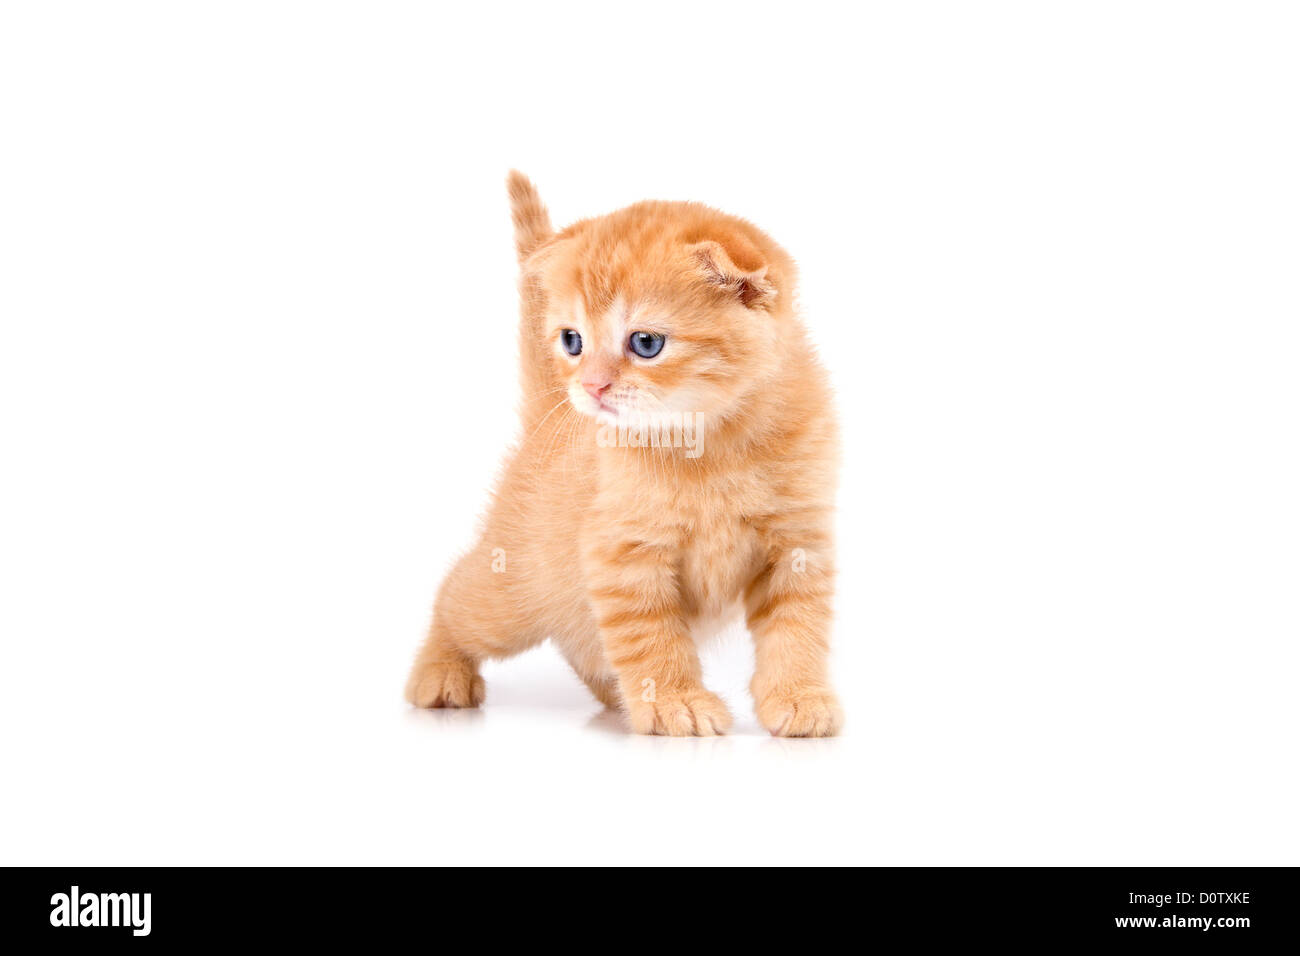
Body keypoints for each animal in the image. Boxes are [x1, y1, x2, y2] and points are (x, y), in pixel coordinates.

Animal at [405, 174, 842, 738]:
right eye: (572, 340)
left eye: (646, 343)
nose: (590, 387)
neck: (712, 443)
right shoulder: (622, 553)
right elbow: (651, 637)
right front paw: (676, 701)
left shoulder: (799, 542)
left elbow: (798, 630)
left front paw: (798, 696)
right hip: (509, 594)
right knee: (455, 598)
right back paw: (438, 672)